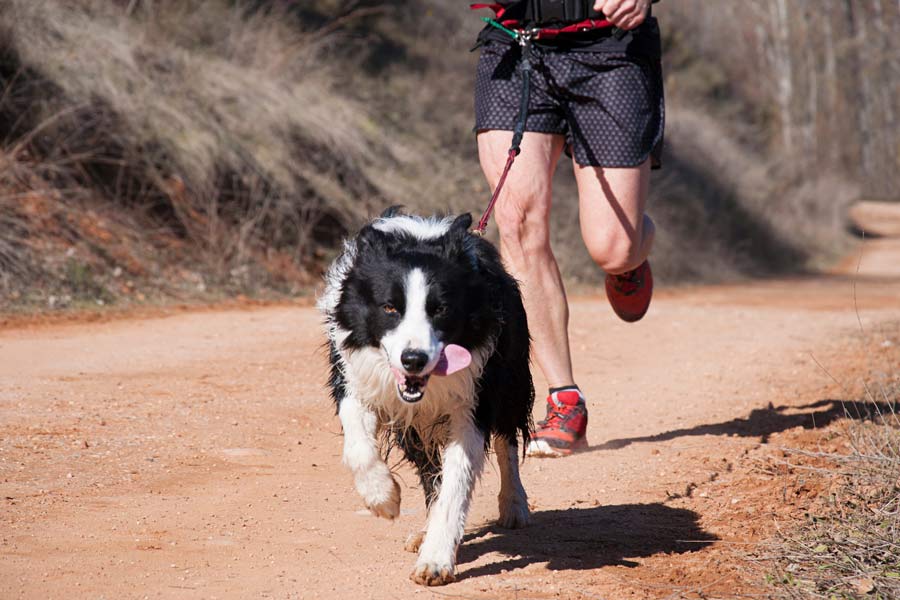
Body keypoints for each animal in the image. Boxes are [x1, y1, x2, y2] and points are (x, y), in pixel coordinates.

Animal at [318, 209, 536, 584]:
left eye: (441, 309)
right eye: (390, 308)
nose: (413, 359)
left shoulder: (474, 392)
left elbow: (457, 478)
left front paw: (435, 562)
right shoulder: (355, 372)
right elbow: (358, 442)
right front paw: (384, 498)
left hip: (511, 375)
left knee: (506, 440)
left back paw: (514, 507)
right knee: (429, 469)